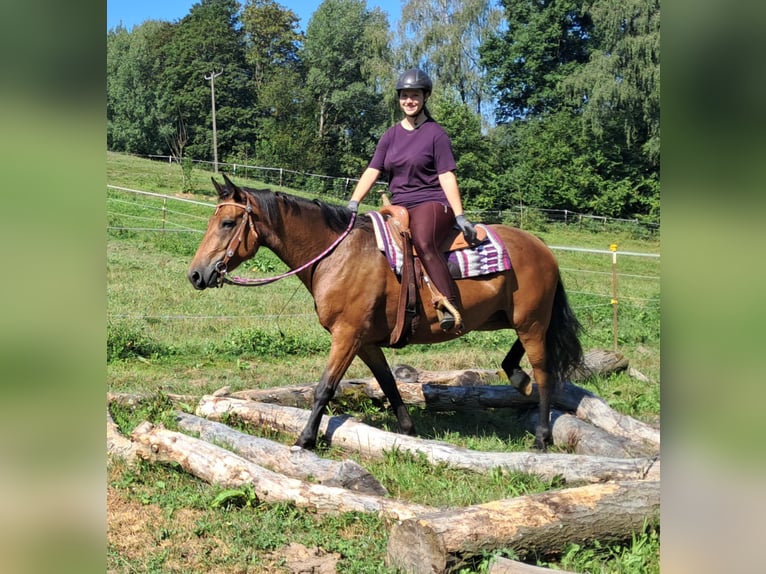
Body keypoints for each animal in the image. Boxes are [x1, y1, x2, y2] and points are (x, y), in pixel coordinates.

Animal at [189, 176, 584, 450]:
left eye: (227, 223)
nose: (196, 274)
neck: (340, 255)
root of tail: (543, 248)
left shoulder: (347, 336)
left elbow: (324, 388)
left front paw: (305, 440)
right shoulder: (365, 342)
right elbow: (389, 385)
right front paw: (410, 432)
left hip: (531, 323)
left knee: (545, 375)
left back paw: (542, 436)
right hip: (516, 320)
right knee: (523, 362)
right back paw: (517, 378)